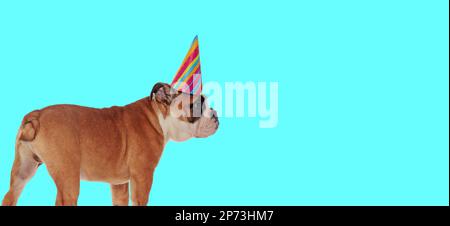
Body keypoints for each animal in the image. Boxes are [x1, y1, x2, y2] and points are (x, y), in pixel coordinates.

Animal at [1, 82, 220, 206]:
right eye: (197, 105)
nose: (215, 114)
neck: (157, 115)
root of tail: (37, 115)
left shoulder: (120, 185)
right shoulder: (143, 177)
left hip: (23, 170)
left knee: (10, 196)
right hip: (68, 178)